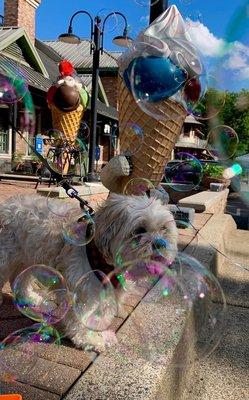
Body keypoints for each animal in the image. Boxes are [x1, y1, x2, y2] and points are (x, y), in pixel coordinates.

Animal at [0, 194, 179, 350]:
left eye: (164, 229)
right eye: (139, 230)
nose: (160, 243)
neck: (103, 261)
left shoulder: (107, 294)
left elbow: (100, 317)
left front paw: (101, 334)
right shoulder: (81, 292)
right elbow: (81, 320)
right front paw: (88, 339)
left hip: (26, 261)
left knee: (20, 279)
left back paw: (28, 298)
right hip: (6, 259)